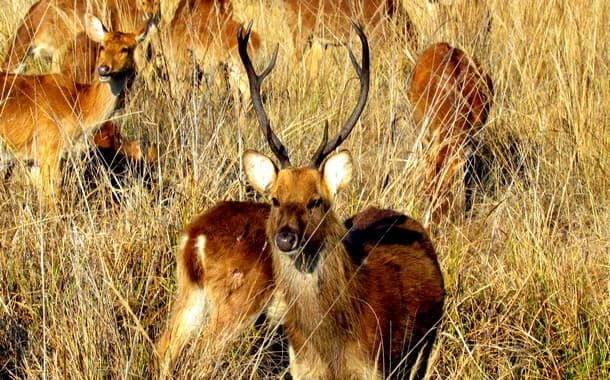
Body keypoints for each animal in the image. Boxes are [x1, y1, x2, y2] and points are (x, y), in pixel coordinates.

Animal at [0, 12, 152, 202]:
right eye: (102, 46)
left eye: (125, 49)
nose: (103, 69)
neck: (79, 106)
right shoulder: (49, 146)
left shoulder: (33, 159)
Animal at [236, 21, 442, 380]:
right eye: (275, 199)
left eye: (316, 201)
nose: (286, 237)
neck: (330, 349)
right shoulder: (300, 367)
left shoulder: (374, 366)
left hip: (425, 343)